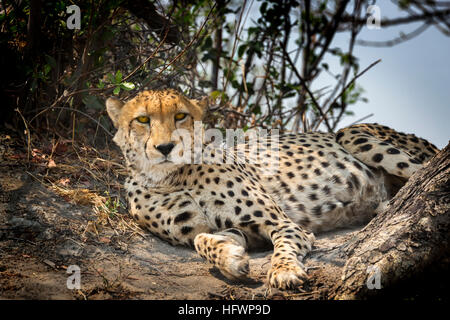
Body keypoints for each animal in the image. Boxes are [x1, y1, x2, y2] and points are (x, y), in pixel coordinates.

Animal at [106, 88, 440, 290]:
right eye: (143, 119)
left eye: (180, 116)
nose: (165, 147)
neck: (171, 177)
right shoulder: (235, 231)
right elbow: (202, 239)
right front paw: (232, 259)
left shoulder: (283, 223)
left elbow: (284, 245)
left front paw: (284, 271)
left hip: (352, 134)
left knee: (422, 173)